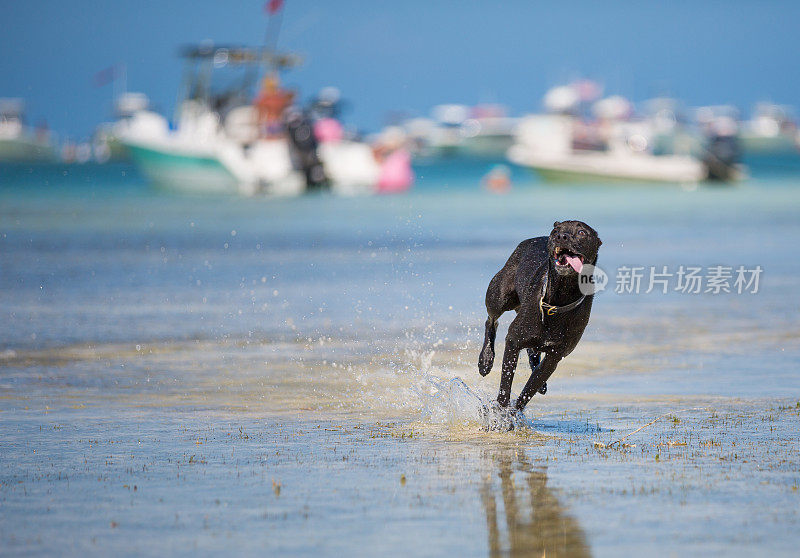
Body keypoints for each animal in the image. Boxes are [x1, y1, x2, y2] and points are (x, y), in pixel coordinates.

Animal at [476, 221, 600, 418]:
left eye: (582, 232)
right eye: (556, 231)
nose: (561, 236)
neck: (558, 300)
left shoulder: (554, 357)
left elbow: (529, 389)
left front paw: (514, 413)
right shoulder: (513, 340)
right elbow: (506, 381)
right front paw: (501, 413)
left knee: (533, 353)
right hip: (499, 296)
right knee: (491, 320)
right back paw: (485, 360)